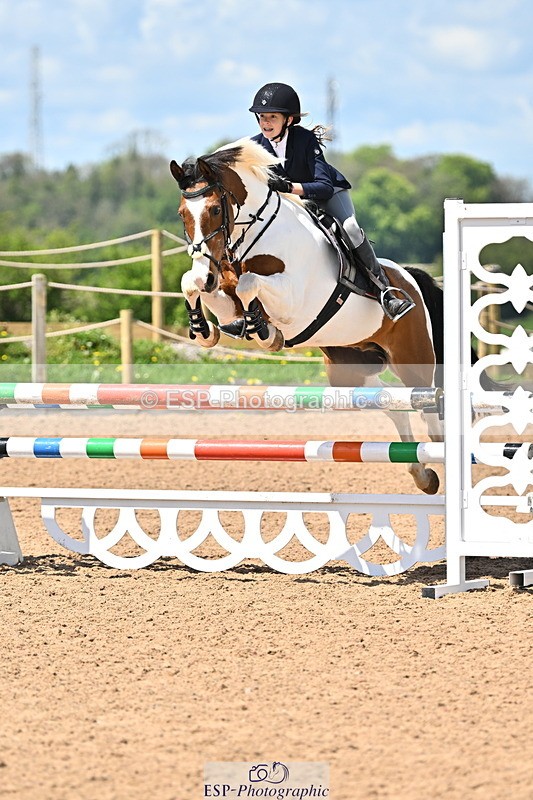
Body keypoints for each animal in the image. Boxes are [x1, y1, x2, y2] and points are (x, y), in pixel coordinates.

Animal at [169, 137, 444, 494]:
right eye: (182, 214)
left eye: (215, 209)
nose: (208, 276)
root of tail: (409, 278)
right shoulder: (223, 290)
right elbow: (192, 284)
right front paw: (205, 329)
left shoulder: (295, 303)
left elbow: (248, 283)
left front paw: (265, 332)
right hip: (349, 370)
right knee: (390, 404)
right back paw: (422, 474)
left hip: (412, 359)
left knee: (429, 411)